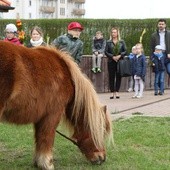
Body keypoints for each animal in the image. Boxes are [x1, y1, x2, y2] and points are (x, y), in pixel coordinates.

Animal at [0, 40, 113, 169]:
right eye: (101, 130)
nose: (102, 158)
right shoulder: (53, 114)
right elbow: (47, 137)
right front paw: (47, 163)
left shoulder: (40, 117)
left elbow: (39, 138)